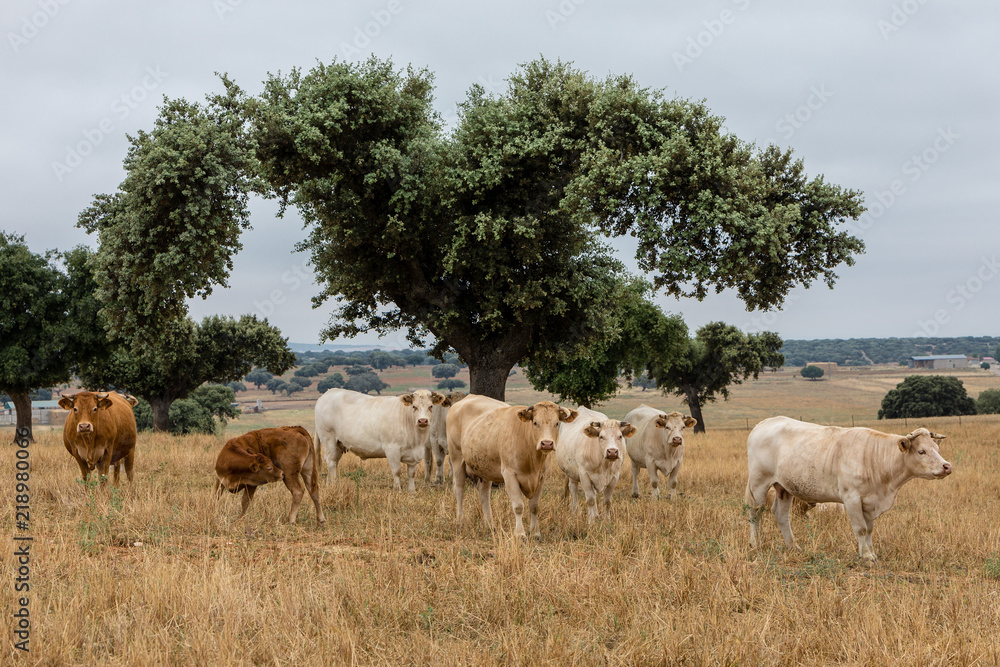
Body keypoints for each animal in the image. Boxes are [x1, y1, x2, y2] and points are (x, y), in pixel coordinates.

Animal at [314, 388, 444, 494]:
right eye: (414, 406)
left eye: (431, 406)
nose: (422, 421)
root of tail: (328, 393)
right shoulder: (392, 449)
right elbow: (397, 471)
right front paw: (398, 489)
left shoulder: (414, 454)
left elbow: (411, 473)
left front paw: (412, 491)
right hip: (328, 439)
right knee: (331, 461)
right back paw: (334, 484)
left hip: (338, 444)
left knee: (334, 462)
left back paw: (330, 483)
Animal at [448, 400, 580, 540]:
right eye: (535, 422)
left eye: (556, 423)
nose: (547, 443)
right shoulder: (509, 475)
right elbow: (518, 506)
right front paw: (520, 534)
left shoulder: (541, 477)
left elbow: (534, 506)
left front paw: (535, 532)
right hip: (457, 459)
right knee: (459, 489)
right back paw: (460, 521)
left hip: (484, 467)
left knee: (484, 494)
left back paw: (489, 525)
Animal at [744, 418, 952, 564]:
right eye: (921, 451)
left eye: (936, 448)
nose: (946, 466)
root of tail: (764, 423)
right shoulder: (851, 498)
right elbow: (860, 528)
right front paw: (866, 557)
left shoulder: (869, 502)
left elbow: (869, 529)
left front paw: (871, 553)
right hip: (758, 483)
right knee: (755, 513)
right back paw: (756, 544)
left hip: (784, 488)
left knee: (781, 515)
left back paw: (793, 547)